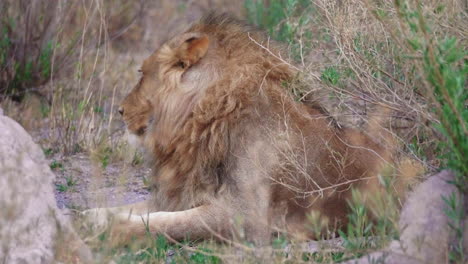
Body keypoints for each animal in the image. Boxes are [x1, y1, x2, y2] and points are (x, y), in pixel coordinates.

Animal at [85, 13, 398, 245]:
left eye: (141, 73)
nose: (120, 110)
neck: (200, 123)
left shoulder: (246, 215)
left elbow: (166, 224)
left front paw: (111, 230)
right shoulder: (183, 194)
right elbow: (139, 209)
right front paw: (90, 215)